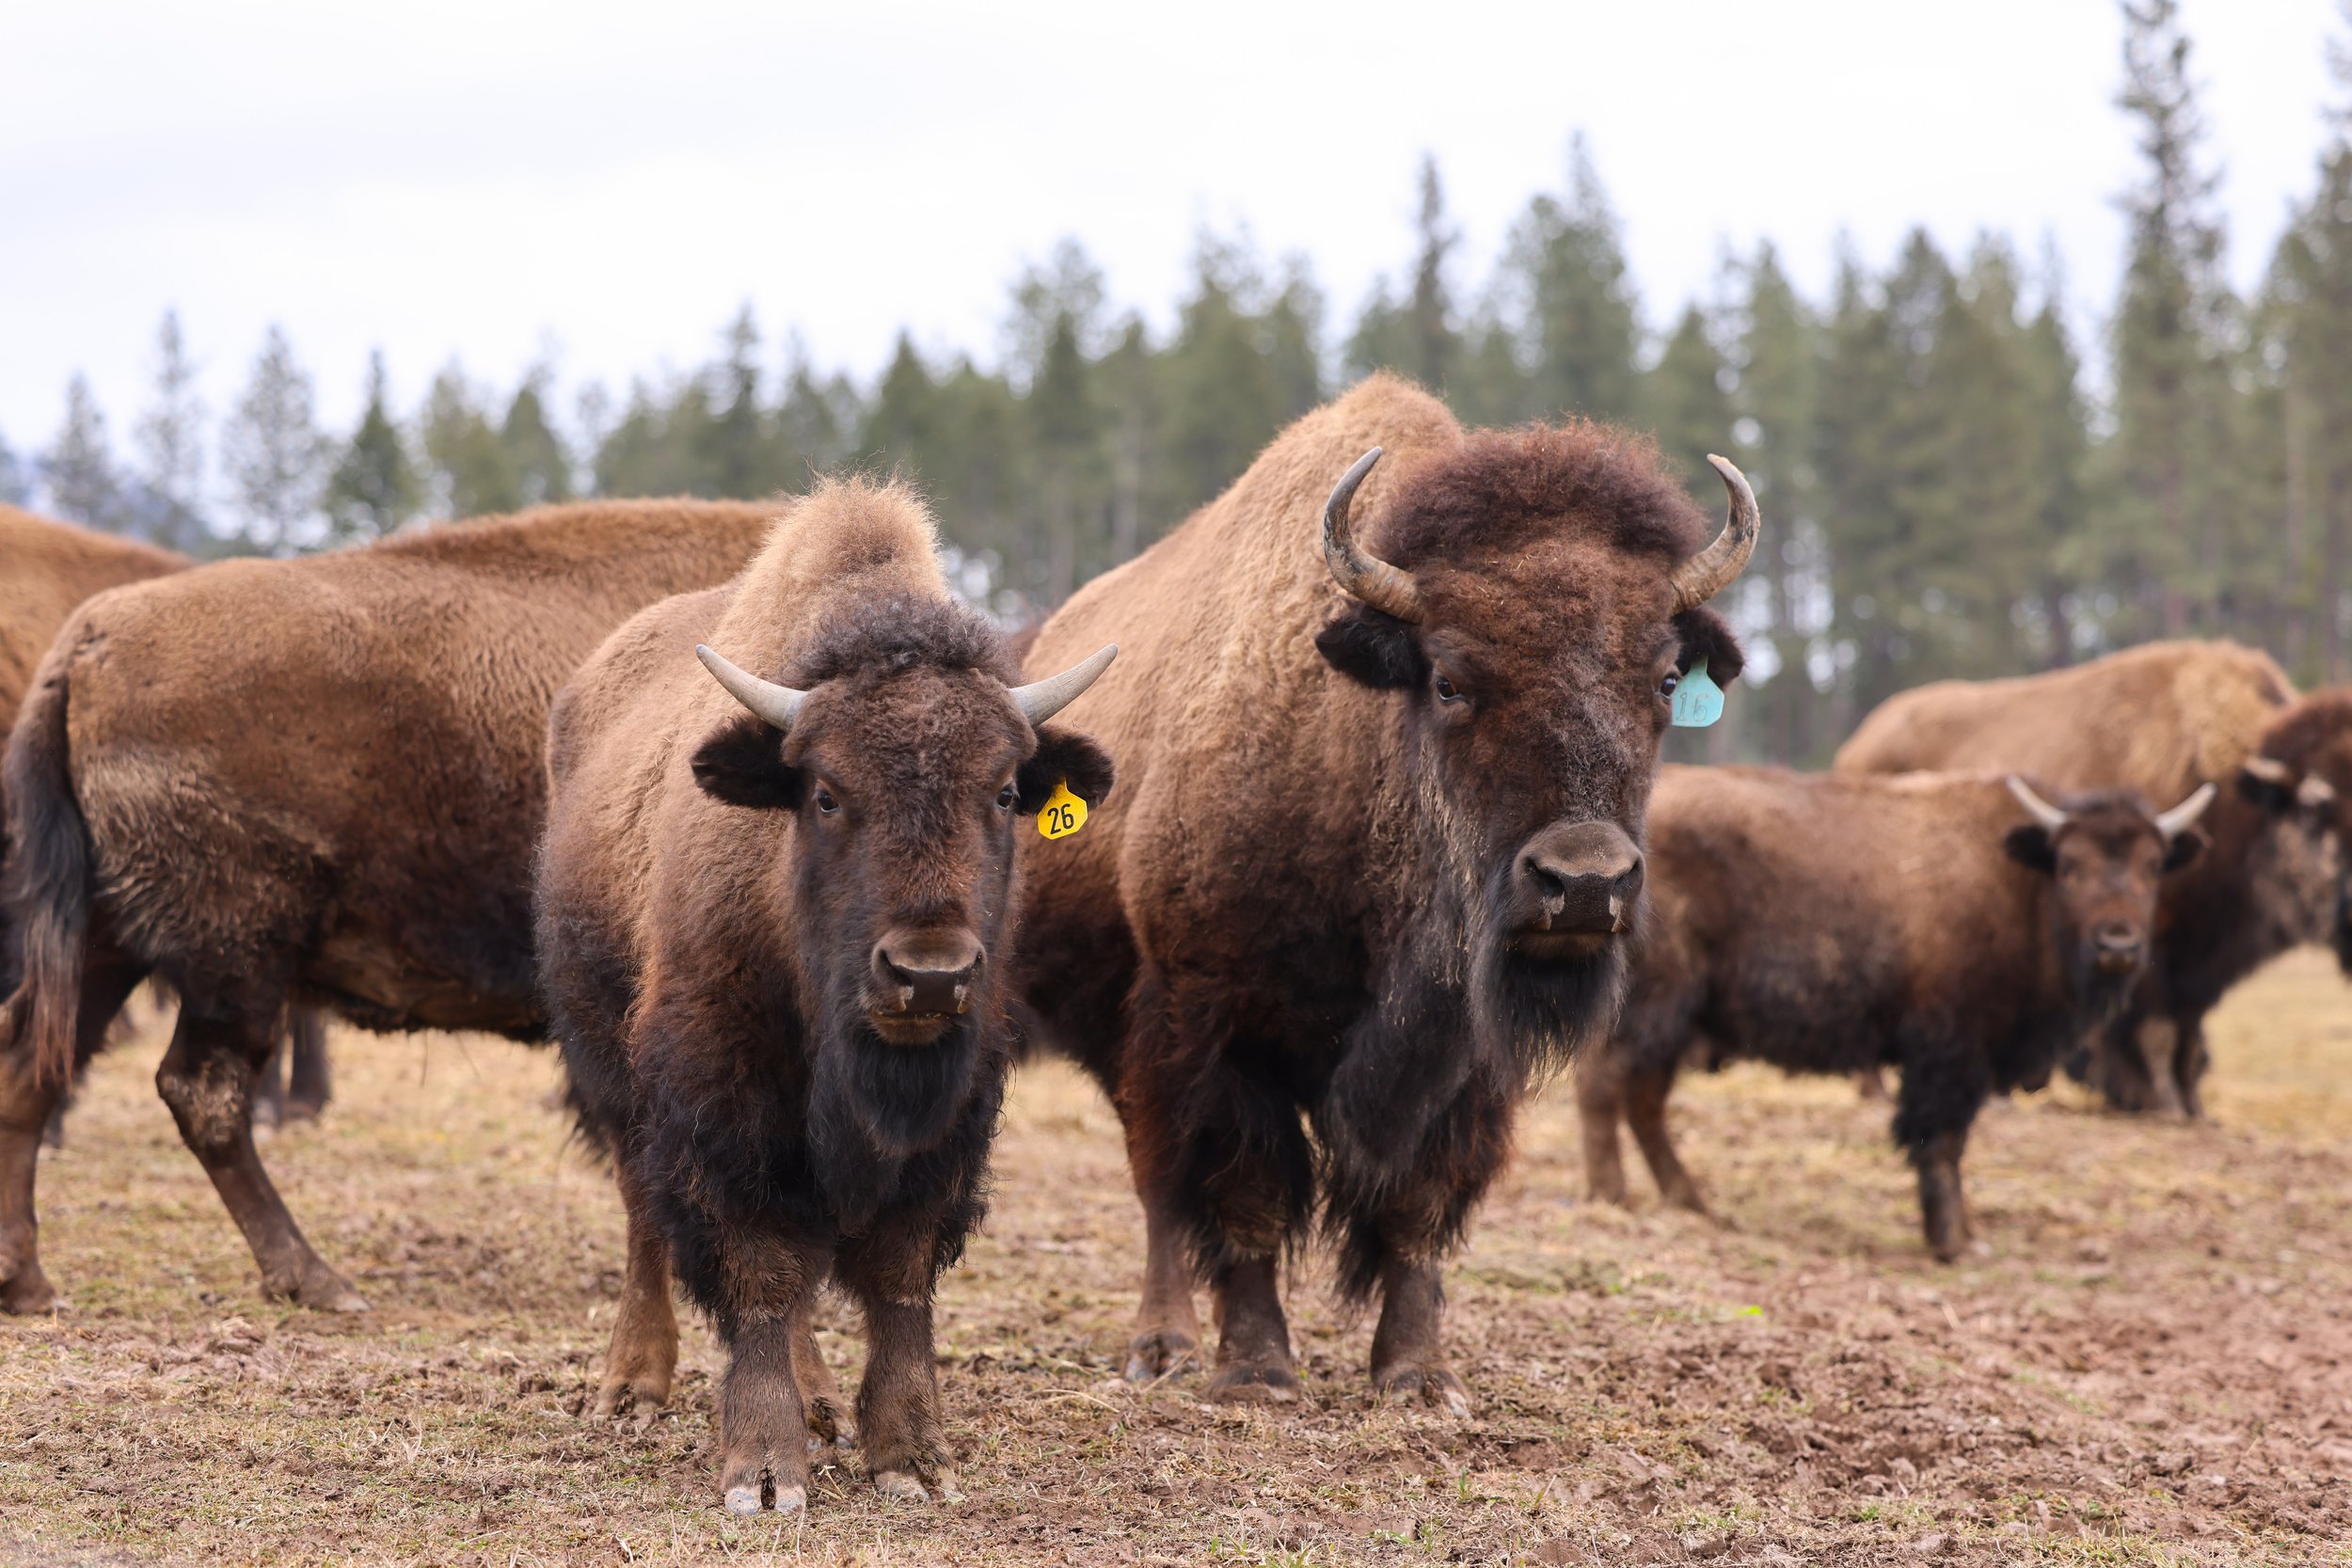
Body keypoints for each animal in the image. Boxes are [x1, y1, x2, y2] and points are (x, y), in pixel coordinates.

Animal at [0, 499, 780, 1315]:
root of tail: (87, 646)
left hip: (110, 938)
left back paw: (27, 1281)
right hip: (233, 953)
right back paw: (317, 1278)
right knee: (200, 1091)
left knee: (33, 1059)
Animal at [536, 479, 1115, 1512]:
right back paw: (632, 1385)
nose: (928, 971)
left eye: (1008, 791)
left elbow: (896, 1274)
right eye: (827, 792)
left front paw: (911, 1456)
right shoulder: (726, 1099)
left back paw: (816, 1402)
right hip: (606, 1058)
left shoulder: (952, 1114)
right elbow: (762, 1270)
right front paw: (763, 1474)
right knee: (643, 1211)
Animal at [1014, 373, 1757, 1413]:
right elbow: (1245, 1194)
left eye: (1660, 679)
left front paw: (1417, 1375)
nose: (1581, 882)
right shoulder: (1219, 1021)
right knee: (1159, 1182)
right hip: (1127, 1027)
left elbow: (1416, 1205)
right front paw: (1256, 1370)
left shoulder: (1462, 1063)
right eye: (1447, 678)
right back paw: (1162, 1344)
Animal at [1578, 766, 2214, 1259]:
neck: (2020, 882)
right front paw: (1953, 1241)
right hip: (1651, 1011)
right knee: (1606, 1088)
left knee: (1644, 1102)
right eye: (2070, 866)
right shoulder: (1951, 1051)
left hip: (1678, 1022)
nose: (2118, 946)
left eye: (2153, 866)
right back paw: (1614, 1197)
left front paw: (1964, 1232)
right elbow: (1941, 1139)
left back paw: (1691, 1202)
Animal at [1834, 640, 2352, 1116]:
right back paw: (1877, 1092)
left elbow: (2187, 1034)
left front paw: (2192, 1107)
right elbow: (2153, 1030)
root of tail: (1855, 750)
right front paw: (2158, 1102)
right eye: (2316, 806)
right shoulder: (2149, 951)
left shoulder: (2199, 961)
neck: (2236, 798)